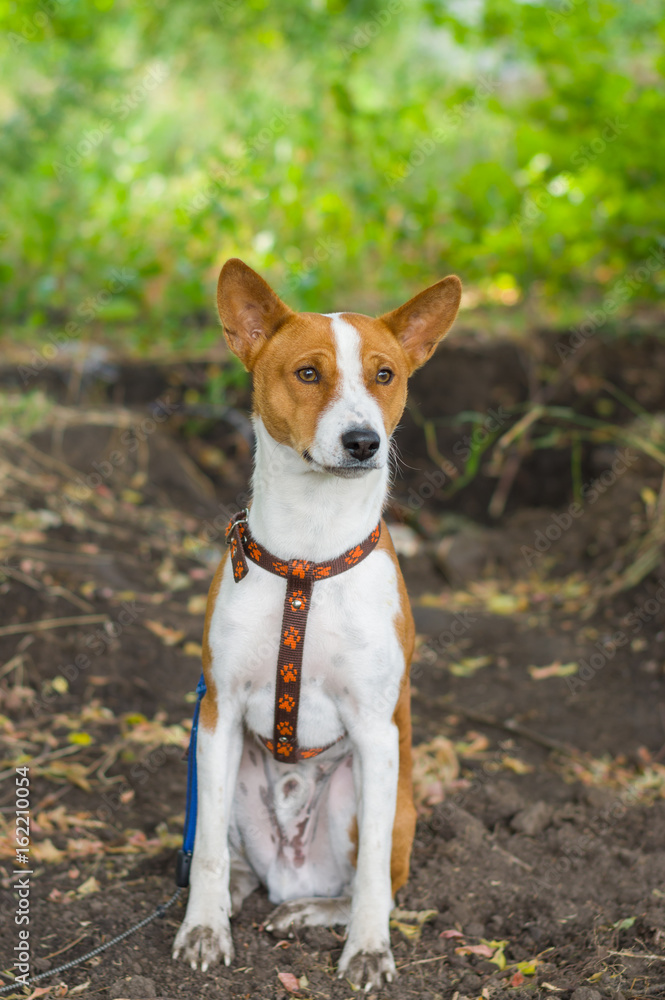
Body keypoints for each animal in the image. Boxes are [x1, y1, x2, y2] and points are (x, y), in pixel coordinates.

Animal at [174, 254, 460, 988]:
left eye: (385, 375)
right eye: (307, 373)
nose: (364, 442)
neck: (309, 550)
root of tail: (291, 871)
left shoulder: (376, 732)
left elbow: (372, 879)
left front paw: (368, 949)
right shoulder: (216, 713)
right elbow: (207, 851)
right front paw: (203, 929)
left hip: (373, 801)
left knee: (370, 878)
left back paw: (312, 911)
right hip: (224, 776)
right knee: (228, 858)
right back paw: (231, 894)